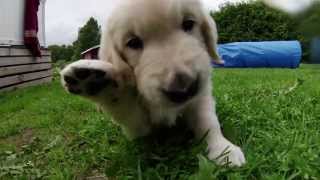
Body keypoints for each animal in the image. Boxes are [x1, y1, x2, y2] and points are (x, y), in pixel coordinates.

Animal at [60, 0, 245, 167]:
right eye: (133, 42)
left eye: (188, 24)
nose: (184, 89)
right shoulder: (137, 129)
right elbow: (124, 105)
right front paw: (102, 85)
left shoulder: (202, 95)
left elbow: (207, 121)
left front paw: (224, 149)